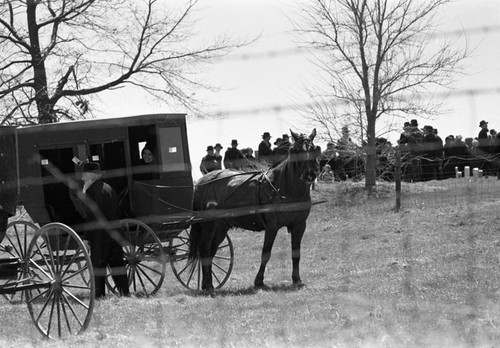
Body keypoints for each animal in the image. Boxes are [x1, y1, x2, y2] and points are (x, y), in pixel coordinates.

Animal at [188, 128, 320, 294]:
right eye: (295, 150)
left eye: (313, 149)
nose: (310, 175)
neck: (284, 187)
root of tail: (202, 181)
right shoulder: (272, 226)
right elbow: (266, 253)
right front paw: (259, 282)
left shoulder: (300, 225)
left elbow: (296, 253)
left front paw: (297, 280)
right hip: (209, 225)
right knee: (205, 250)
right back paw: (209, 286)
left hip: (221, 227)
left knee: (211, 251)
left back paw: (207, 284)